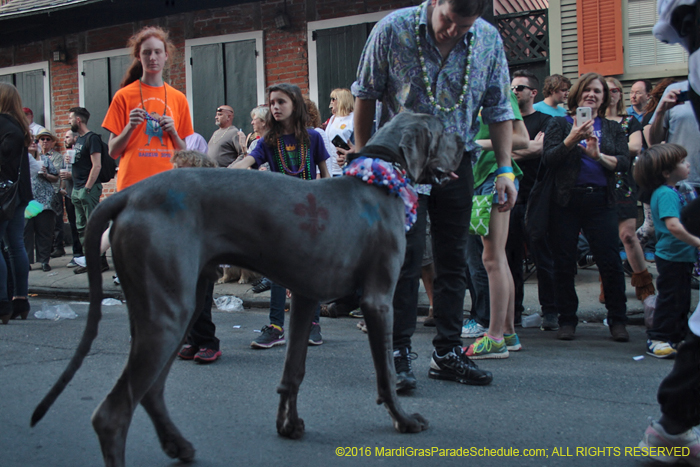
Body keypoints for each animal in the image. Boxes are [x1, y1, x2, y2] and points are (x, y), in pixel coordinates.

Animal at [30, 113, 464, 467]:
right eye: (443, 131)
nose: (466, 142)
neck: (379, 179)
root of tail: (128, 194)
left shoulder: (304, 297)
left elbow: (294, 370)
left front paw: (288, 425)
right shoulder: (377, 301)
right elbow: (385, 373)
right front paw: (403, 420)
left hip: (172, 308)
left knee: (150, 392)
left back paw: (178, 445)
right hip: (168, 312)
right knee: (113, 412)